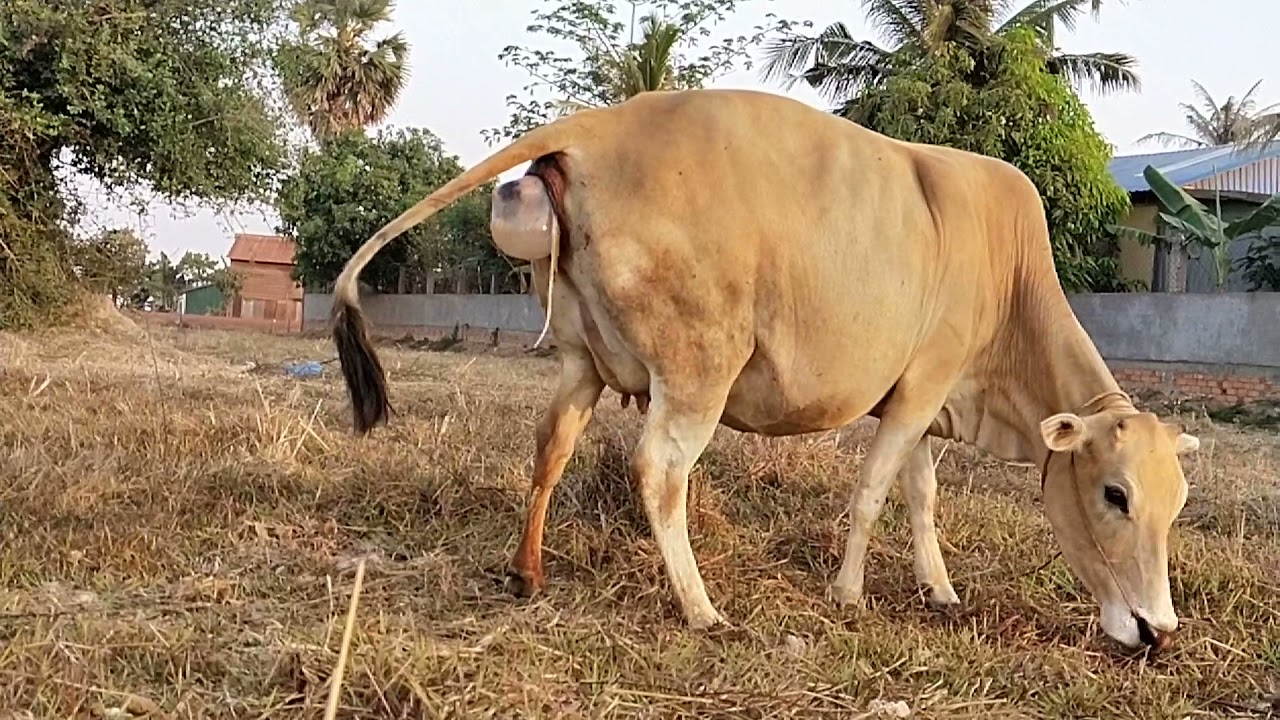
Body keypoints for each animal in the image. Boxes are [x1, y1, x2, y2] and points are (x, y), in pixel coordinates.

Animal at [328, 88, 1201, 653]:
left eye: (1177, 506)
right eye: (1114, 494)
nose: (1157, 630)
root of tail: (600, 127)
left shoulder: (919, 399)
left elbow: (921, 497)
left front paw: (941, 589)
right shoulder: (921, 390)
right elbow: (872, 494)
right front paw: (847, 594)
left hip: (583, 361)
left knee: (551, 447)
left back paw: (528, 571)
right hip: (698, 369)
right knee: (659, 470)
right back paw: (701, 609)